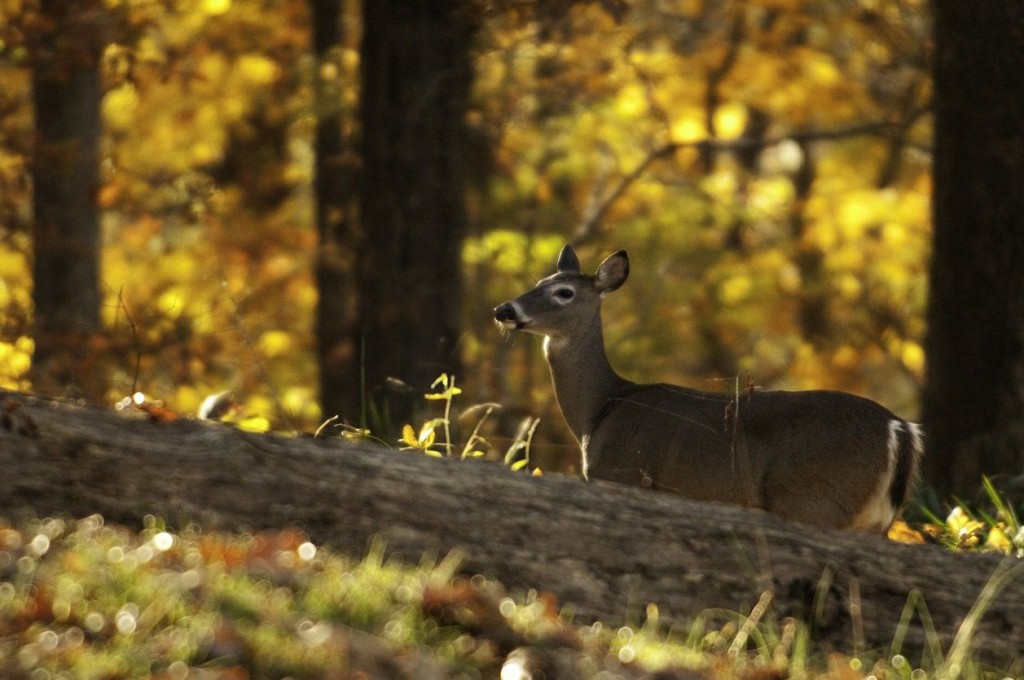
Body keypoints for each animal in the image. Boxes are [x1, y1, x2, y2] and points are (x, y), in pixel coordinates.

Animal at [491, 246, 925, 532]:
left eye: (564, 293)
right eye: (540, 281)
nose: (504, 310)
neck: (599, 411)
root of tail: (900, 428)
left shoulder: (621, 473)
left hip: (814, 499)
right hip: (875, 520)